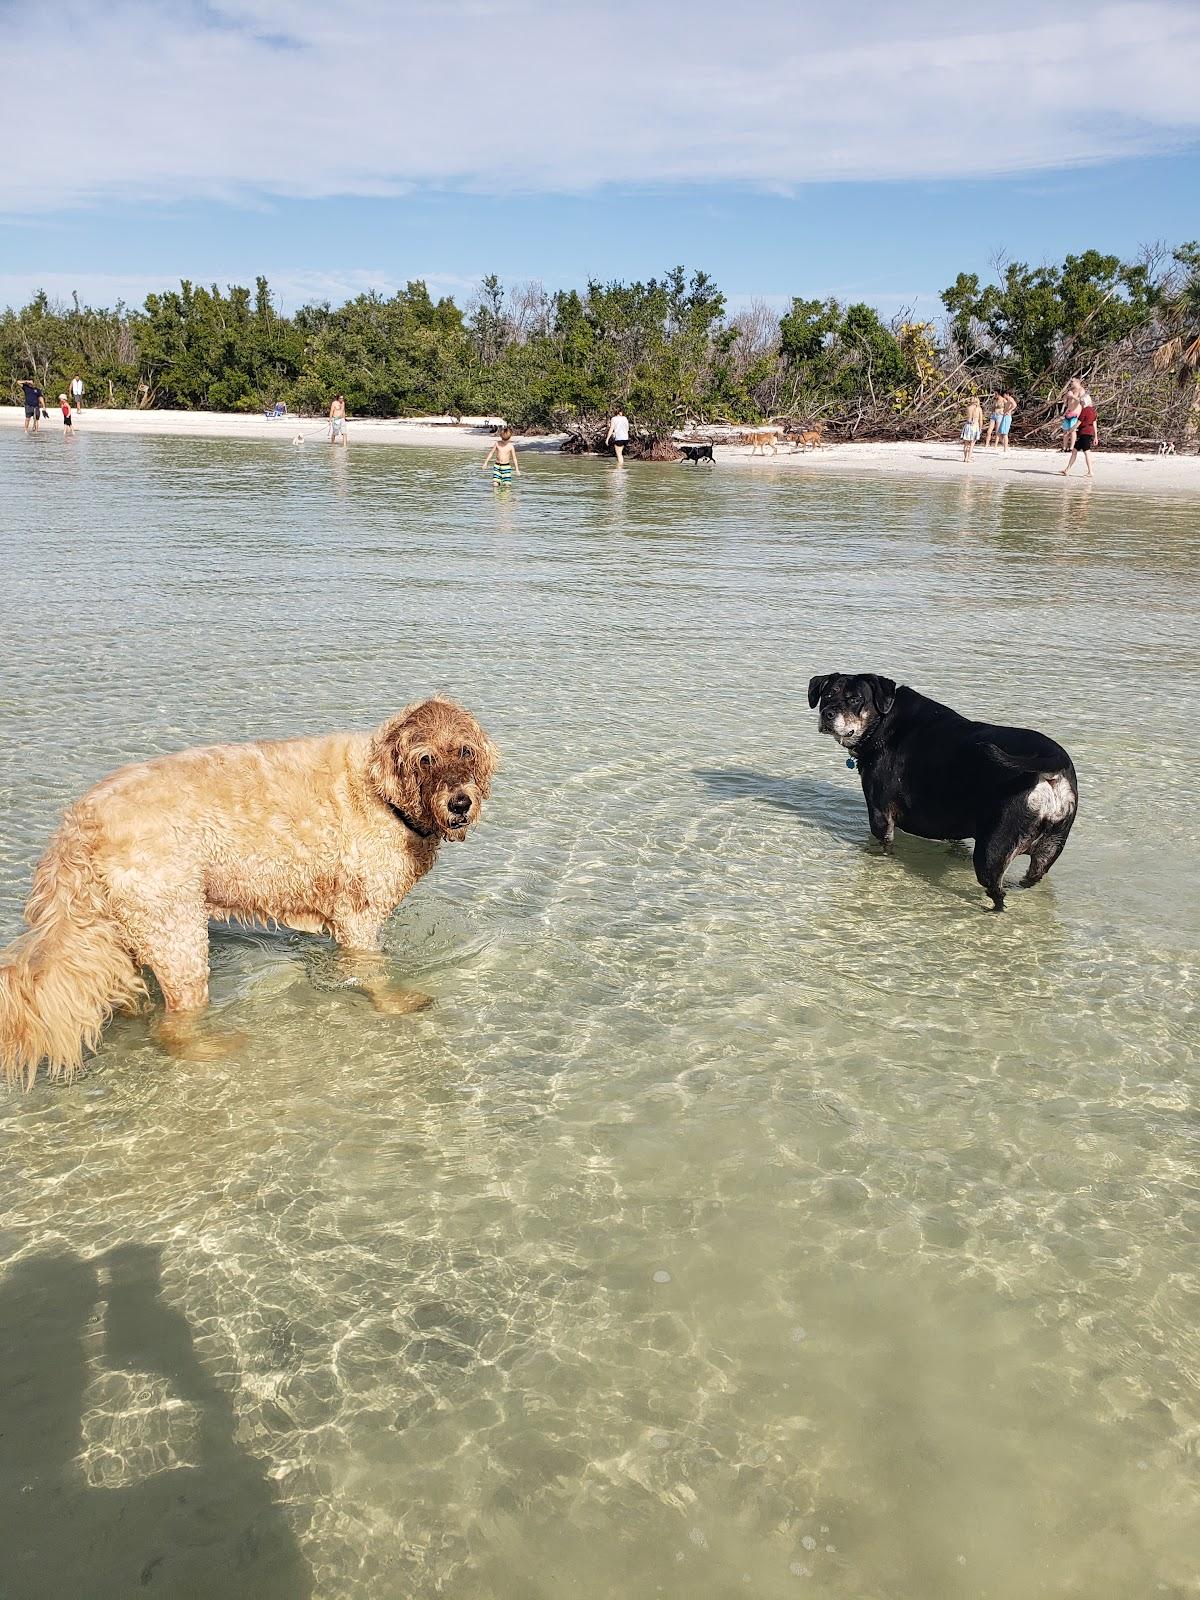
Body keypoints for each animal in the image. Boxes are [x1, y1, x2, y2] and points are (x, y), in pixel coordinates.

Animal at [0, 700, 499, 1088]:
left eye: (465, 750)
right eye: (424, 758)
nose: (460, 802)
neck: (381, 794)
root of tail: (80, 821)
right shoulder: (358, 917)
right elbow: (372, 971)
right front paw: (393, 1003)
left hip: (124, 930)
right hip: (176, 931)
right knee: (173, 1024)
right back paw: (211, 1048)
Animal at [809, 668, 1081, 908]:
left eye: (855, 699)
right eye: (827, 695)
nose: (828, 714)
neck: (883, 723)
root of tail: (1053, 763)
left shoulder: (880, 815)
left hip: (993, 851)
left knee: (998, 893)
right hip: (1049, 847)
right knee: (1032, 877)